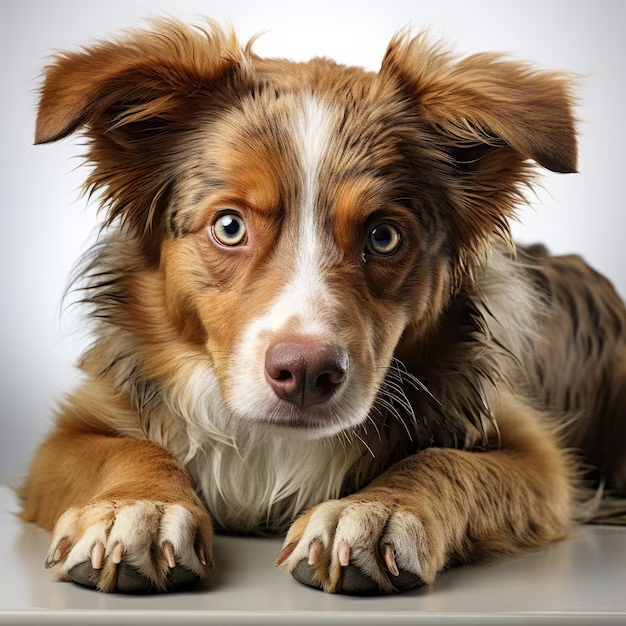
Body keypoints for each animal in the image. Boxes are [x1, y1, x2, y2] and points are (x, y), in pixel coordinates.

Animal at [18, 17, 624, 592]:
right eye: (229, 226)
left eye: (384, 237)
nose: (306, 373)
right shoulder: (70, 432)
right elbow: (126, 450)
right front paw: (137, 508)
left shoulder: (538, 455)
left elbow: (445, 461)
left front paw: (377, 511)